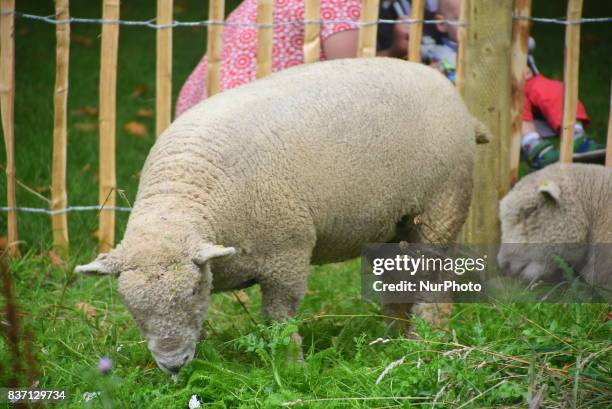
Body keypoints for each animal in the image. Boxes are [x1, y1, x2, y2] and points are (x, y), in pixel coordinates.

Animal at [74, 56, 490, 372]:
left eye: (191, 289)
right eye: (129, 303)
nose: (173, 364)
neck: (184, 195)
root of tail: (447, 88)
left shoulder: (286, 253)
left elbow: (279, 316)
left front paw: (292, 366)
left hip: (442, 206)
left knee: (435, 281)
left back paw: (426, 341)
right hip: (393, 225)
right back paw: (390, 339)